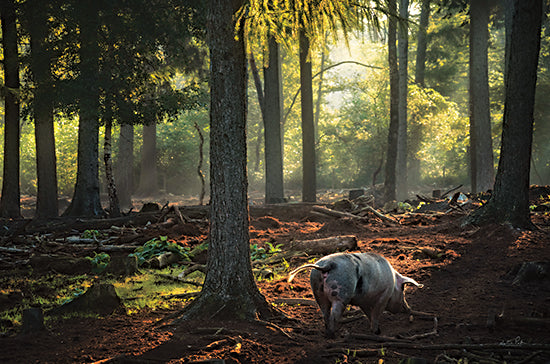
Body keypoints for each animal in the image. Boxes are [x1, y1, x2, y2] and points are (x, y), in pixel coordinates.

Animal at [288, 252, 422, 336]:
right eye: (403, 289)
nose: (408, 309)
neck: (393, 283)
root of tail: (328, 265)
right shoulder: (383, 297)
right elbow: (376, 314)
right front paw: (377, 332)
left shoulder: (363, 301)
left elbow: (368, 314)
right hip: (341, 293)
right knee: (334, 315)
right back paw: (333, 335)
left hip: (317, 290)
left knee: (325, 313)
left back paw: (327, 332)